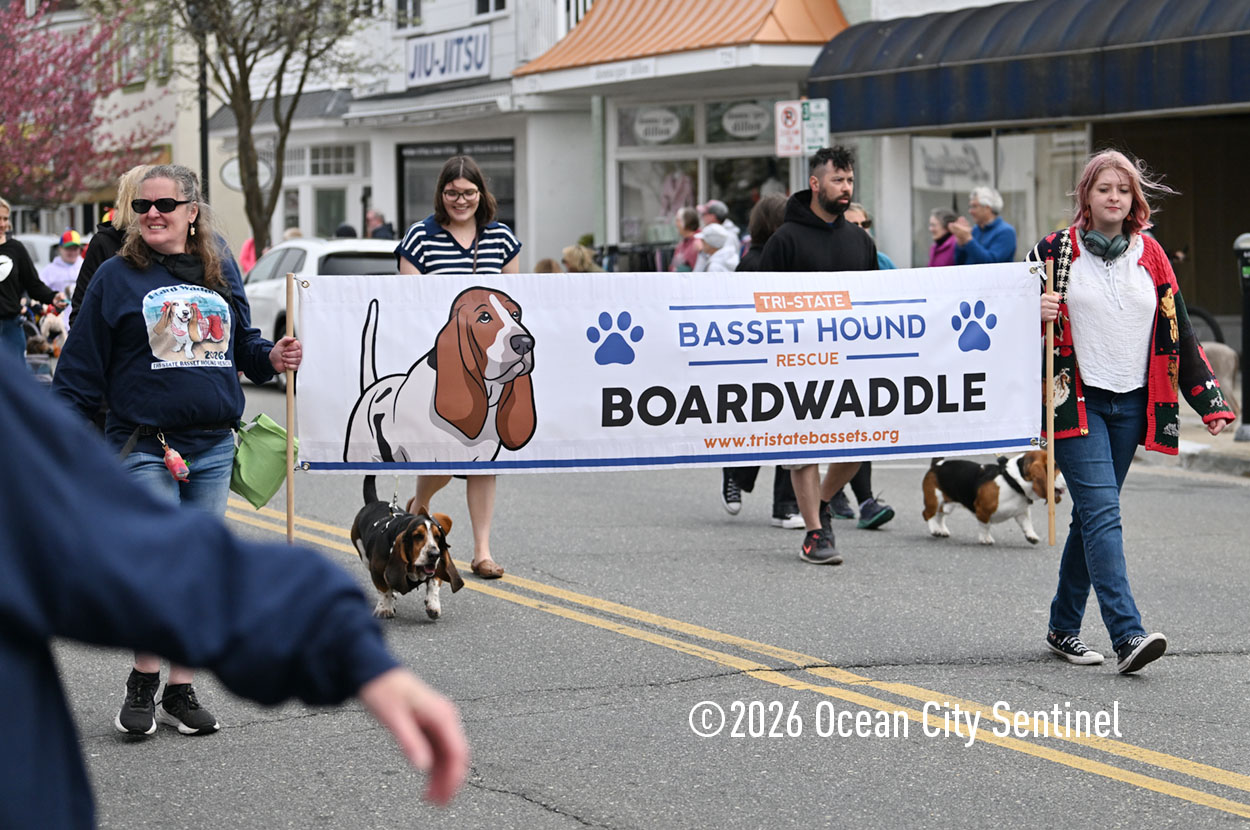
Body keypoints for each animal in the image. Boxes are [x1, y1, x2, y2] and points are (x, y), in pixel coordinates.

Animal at [350, 475, 463, 619]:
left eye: (437, 536)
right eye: (418, 536)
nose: (435, 555)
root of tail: (374, 502)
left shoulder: (435, 570)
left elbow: (433, 584)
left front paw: (433, 605)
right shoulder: (376, 570)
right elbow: (384, 590)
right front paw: (384, 608)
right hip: (363, 554)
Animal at [922, 451, 1065, 545]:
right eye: (1055, 467)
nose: (1066, 483)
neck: (1013, 481)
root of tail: (937, 465)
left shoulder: (1021, 512)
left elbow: (1027, 524)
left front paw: (1031, 536)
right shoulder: (982, 510)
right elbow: (985, 526)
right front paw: (985, 539)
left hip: (948, 504)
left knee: (940, 515)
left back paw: (942, 530)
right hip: (934, 500)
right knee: (928, 514)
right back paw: (935, 529)